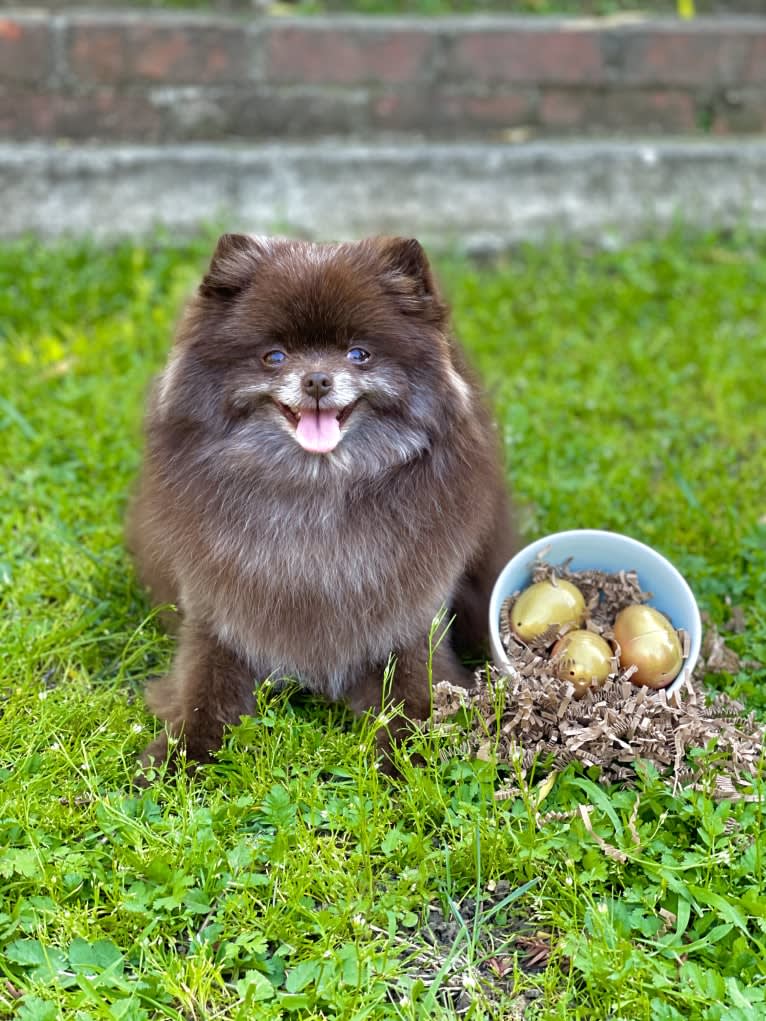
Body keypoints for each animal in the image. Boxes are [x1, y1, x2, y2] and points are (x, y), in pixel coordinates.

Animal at [129, 233, 518, 771]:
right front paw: (173, 761)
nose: (316, 379)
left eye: (359, 354)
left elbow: (414, 705)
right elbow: (202, 699)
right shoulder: (217, 623)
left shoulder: (411, 626)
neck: (316, 497)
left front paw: (405, 764)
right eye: (274, 356)